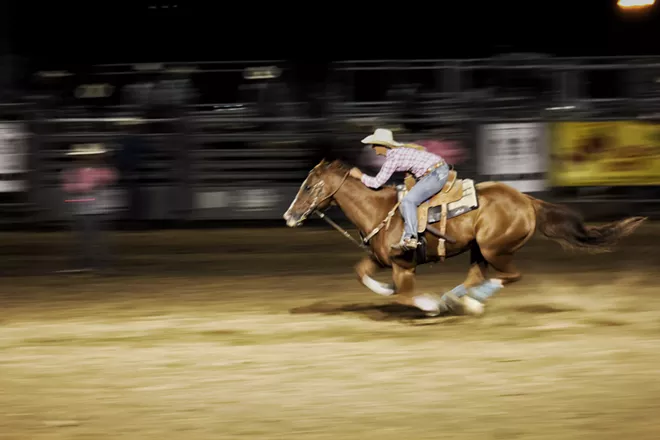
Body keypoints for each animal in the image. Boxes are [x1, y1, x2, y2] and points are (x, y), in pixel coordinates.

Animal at [282, 160, 644, 318]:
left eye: (310, 186)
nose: (288, 216)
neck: (381, 211)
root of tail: (528, 200)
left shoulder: (404, 265)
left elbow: (405, 294)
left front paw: (425, 303)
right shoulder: (379, 259)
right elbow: (361, 273)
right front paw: (386, 291)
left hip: (495, 248)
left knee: (510, 275)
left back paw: (465, 302)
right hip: (479, 249)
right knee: (475, 276)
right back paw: (455, 300)